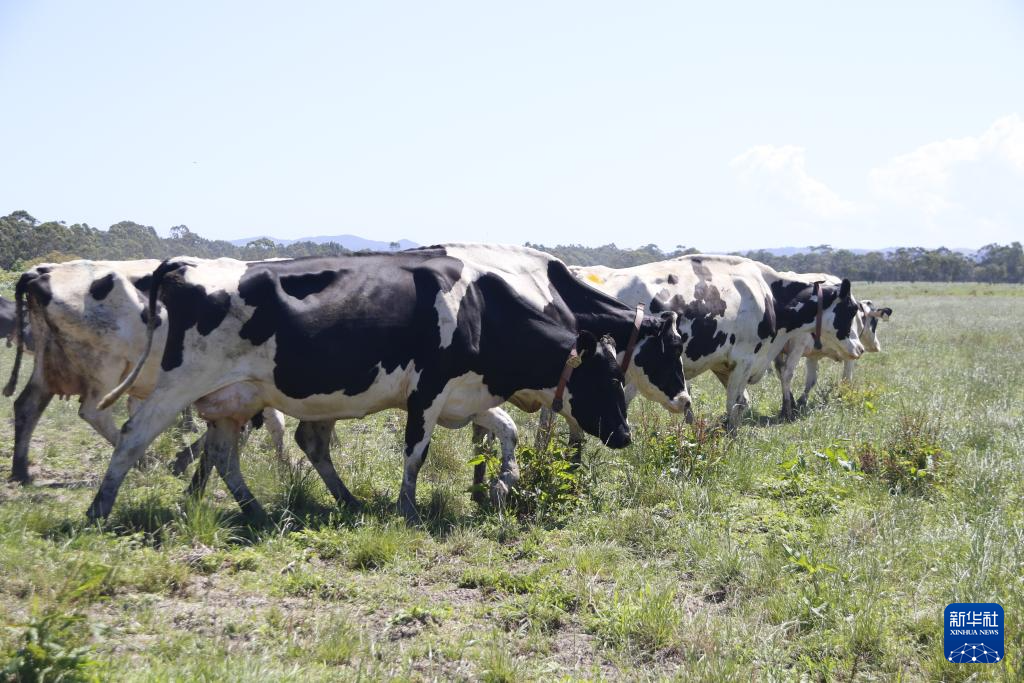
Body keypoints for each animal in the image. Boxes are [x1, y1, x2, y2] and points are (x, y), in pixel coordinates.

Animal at [2, 259, 284, 483]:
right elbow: (272, 423)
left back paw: (21, 471)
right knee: (93, 412)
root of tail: (42, 273)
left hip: (49, 362)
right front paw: (284, 467)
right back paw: (144, 461)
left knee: (27, 405)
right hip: (107, 367)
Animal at [90, 244, 688, 524]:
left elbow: (505, 432)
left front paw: (501, 485)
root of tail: (185, 267)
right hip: (176, 389)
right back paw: (99, 511)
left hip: (233, 399)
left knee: (227, 454)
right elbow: (416, 453)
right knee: (132, 439)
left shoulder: (467, 394)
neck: (483, 307)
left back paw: (267, 510)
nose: (626, 436)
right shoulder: (427, 392)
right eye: (607, 377)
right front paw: (409, 509)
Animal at [569, 253, 864, 430]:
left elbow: (742, 402)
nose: (860, 348)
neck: (767, 294)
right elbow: (734, 403)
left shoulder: (724, 364)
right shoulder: (745, 358)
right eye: (851, 309)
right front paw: (730, 436)